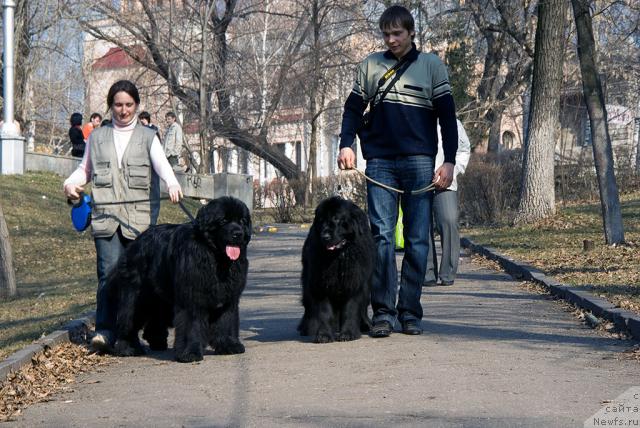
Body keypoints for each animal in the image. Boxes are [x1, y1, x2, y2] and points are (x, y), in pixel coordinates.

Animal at [107, 196, 250, 362]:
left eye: (242, 221)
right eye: (224, 220)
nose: (238, 233)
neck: (215, 257)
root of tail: (135, 243)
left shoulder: (228, 297)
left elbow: (226, 320)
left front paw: (228, 345)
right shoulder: (191, 297)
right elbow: (190, 323)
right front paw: (190, 353)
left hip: (160, 295)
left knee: (156, 317)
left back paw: (157, 341)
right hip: (139, 296)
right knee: (128, 320)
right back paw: (128, 348)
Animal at [298, 196, 376, 342]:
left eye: (336, 219)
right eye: (321, 220)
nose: (325, 236)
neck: (339, 257)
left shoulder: (355, 282)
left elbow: (351, 309)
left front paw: (348, 333)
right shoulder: (321, 283)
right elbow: (324, 312)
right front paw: (323, 335)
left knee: (363, 307)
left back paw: (365, 324)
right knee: (309, 307)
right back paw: (308, 328)